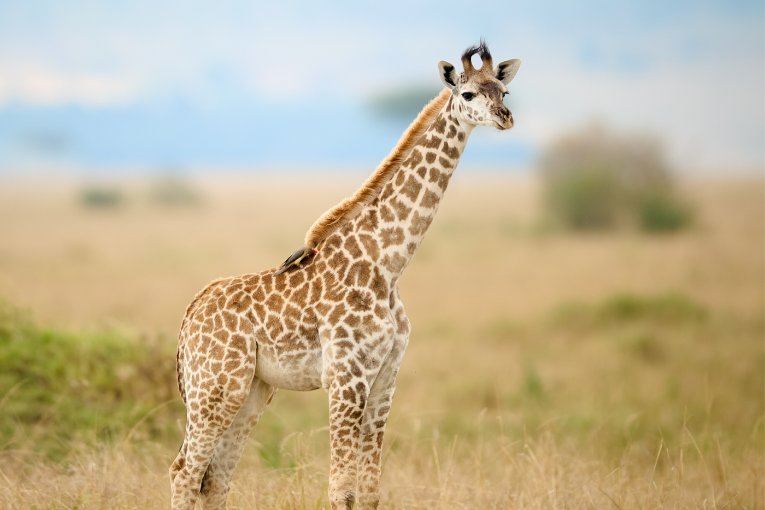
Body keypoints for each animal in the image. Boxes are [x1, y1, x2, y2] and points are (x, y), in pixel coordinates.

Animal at [170, 41, 524, 508]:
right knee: (184, 473)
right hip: (215, 386)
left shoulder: (386, 378)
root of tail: (189, 316)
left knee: (214, 480)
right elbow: (341, 490)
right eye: (468, 94)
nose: (506, 117)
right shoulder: (344, 376)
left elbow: (369, 491)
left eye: (503, 90)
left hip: (251, 392)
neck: (386, 265)